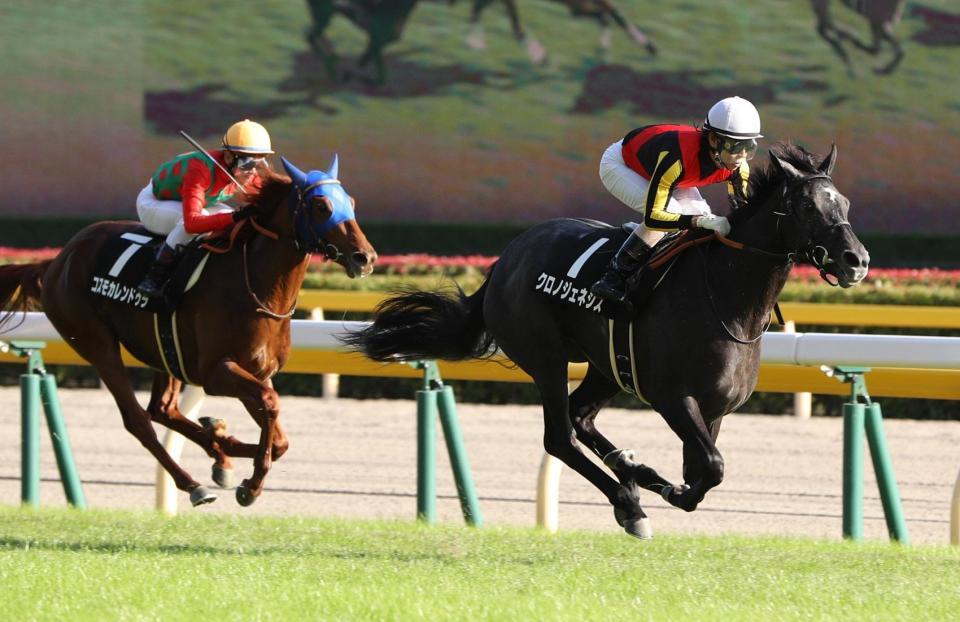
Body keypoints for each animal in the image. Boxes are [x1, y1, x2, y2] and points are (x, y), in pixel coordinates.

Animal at [0, 156, 376, 508]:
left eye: (352, 202)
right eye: (321, 206)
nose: (366, 257)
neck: (256, 285)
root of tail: (57, 260)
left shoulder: (257, 371)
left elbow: (279, 438)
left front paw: (226, 446)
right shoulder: (216, 371)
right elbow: (270, 406)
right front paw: (250, 485)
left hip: (164, 351)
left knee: (162, 409)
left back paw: (218, 450)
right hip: (96, 343)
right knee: (138, 420)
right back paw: (194, 484)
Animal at [344, 143, 872, 540]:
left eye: (845, 204)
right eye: (807, 206)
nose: (857, 260)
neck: (725, 295)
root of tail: (505, 260)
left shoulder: (716, 407)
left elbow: (703, 472)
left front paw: (659, 482)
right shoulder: (672, 397)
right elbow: (711, 468)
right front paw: (661, 491)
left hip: (606, 366)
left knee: (581, 416)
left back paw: (633, 473)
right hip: (546, 355)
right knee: (560, 435)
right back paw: (629, 504)